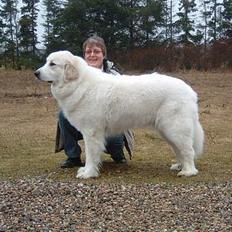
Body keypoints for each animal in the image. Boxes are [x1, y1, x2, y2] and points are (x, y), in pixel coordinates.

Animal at [33, 49, 204, 179]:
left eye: (52, 64)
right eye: (46, 62)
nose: (36, 73)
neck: (78, 83)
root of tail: (190, 91)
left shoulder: (91, 132)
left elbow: (91, 155)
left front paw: (88, 173)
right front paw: (87, 170)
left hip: (174, 128)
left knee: (188, 150)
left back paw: (189, 172)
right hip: (167, 131)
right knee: (180, 150)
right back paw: (180, 166)